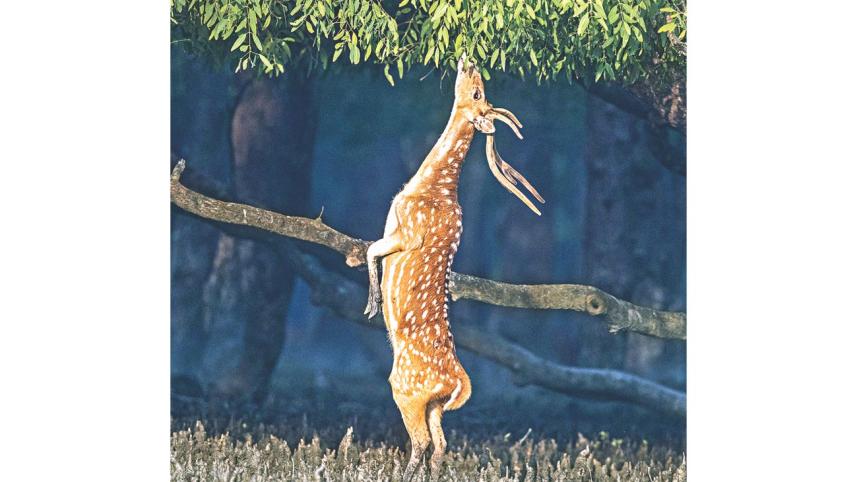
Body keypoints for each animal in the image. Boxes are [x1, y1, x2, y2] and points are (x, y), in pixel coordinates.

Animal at [363, 55, 545, 481]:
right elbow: (369, 248)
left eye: (477, 94)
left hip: (407, 390)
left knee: (422, 442)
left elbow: (372, 251)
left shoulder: (408, 233)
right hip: (434, 404)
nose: (470, 59)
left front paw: (374, 304)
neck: (430, 188)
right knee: (441, 444)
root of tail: (460, 382)